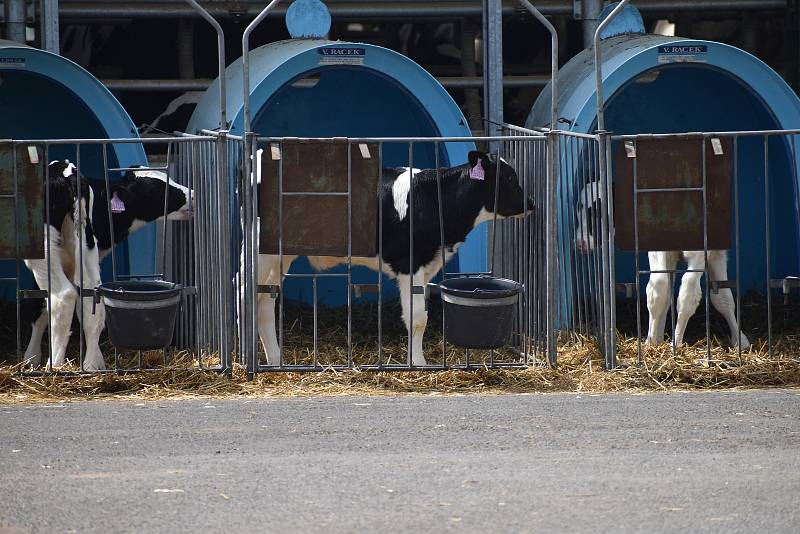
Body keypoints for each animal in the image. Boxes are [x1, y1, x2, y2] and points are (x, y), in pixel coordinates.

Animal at [22, 161, 195, 372]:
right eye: (157, 189)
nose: (192, 195)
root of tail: (68, 172)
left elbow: (38, 305)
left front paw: (31, 358)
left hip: (43, 249)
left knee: (64, 296)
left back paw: (54, 365)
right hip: (85, 245)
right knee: (91, 297)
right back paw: (91, 364)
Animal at [253, 153, 536, 366]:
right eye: (509, 178)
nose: (531, 203)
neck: (434, 200)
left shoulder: (426, 264)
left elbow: (418, 314)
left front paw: (414, 360)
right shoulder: (409, 262)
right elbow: (418, 317)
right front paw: (419, 364)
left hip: (280, 257)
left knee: (265, 303)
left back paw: (276, 360)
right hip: (261, 254)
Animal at [576, 181, 752, 352]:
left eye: (597, 211)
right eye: (578, 211)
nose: (580, 242)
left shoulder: (706, 250)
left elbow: (695, 295)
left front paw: (676, 343)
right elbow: (660, 290)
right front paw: (653, 340)